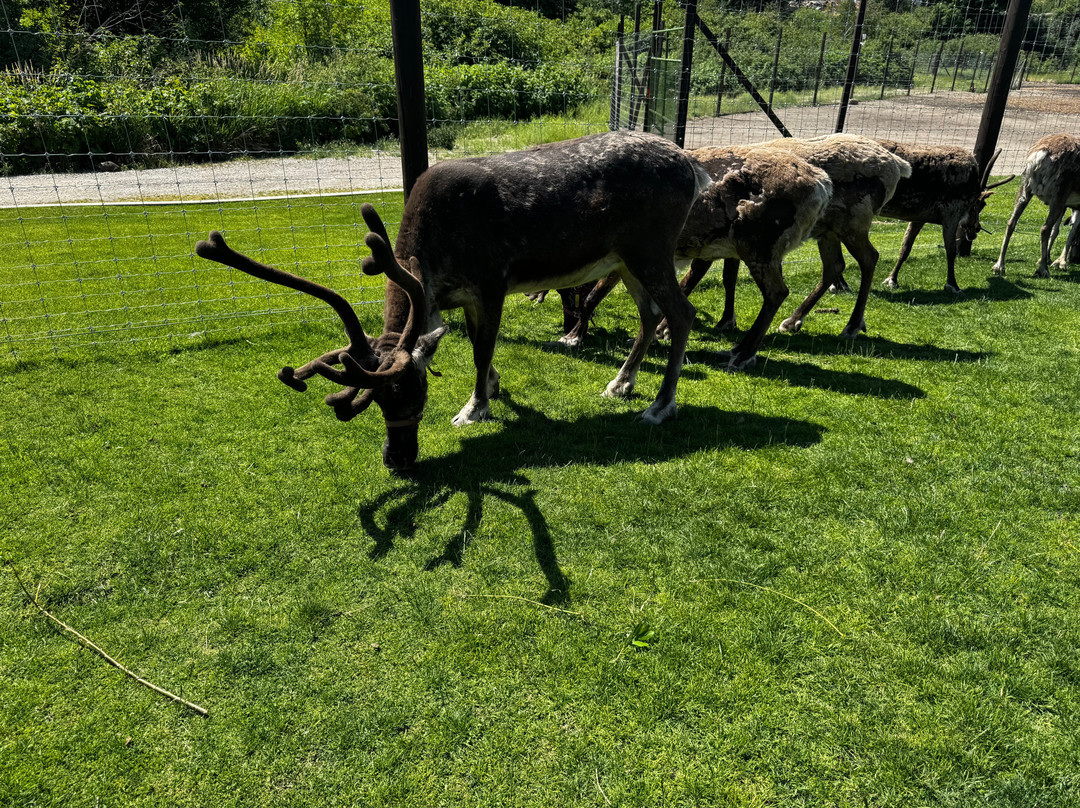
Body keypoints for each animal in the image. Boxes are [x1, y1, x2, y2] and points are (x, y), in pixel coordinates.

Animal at [195, 131, 712, 472]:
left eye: (411, 392)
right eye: (377, 403)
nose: (396, 459)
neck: (430, 253)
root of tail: (693, 166)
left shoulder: (492, 280)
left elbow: (481, 349)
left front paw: (473, 408)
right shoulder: (456, 294)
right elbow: (473, 346)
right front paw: (495, 388)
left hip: (650, 247)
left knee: (680, 313)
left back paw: (660, 405)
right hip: (626, 259)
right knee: (649, 317)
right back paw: (620, 383)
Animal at [557, 143, 833, 370]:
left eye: (566, 288)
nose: (566, 322)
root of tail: (822, 185)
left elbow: (592, 296)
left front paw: (573, 337)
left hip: (758, 246)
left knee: (777, 292)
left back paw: (742, 355)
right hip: (767, 251)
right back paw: (738, 348)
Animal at [992, 133, 1080, 279]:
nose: (1075, 258)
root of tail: (1040, 154)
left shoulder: (1069, 205)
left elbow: (1059, 230)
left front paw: (1052, 259)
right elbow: (1071, 231)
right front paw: (1060, 262)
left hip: (1026, 188)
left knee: (1011, 222)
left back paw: (999, 266)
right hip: (1059, 194)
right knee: (1045, 228)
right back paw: (1043, 270)